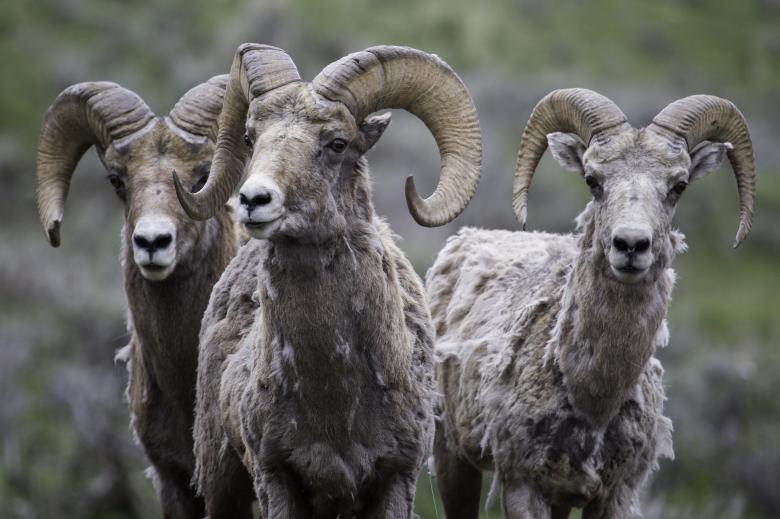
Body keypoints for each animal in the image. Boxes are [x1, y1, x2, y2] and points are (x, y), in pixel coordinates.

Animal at [171, 44, 482, 518]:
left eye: (337, 143)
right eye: (251, 137)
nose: (253, 200)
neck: (334, 399)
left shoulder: (396, 479)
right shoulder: (276, 478)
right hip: (222, 485)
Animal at [426, 89, 756, 519]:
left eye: (679, 185)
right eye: (592, 180)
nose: (631, 245)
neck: (592, 396)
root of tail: (464, 238)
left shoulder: (614, 494)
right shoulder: (522, 486)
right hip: (451, 455)